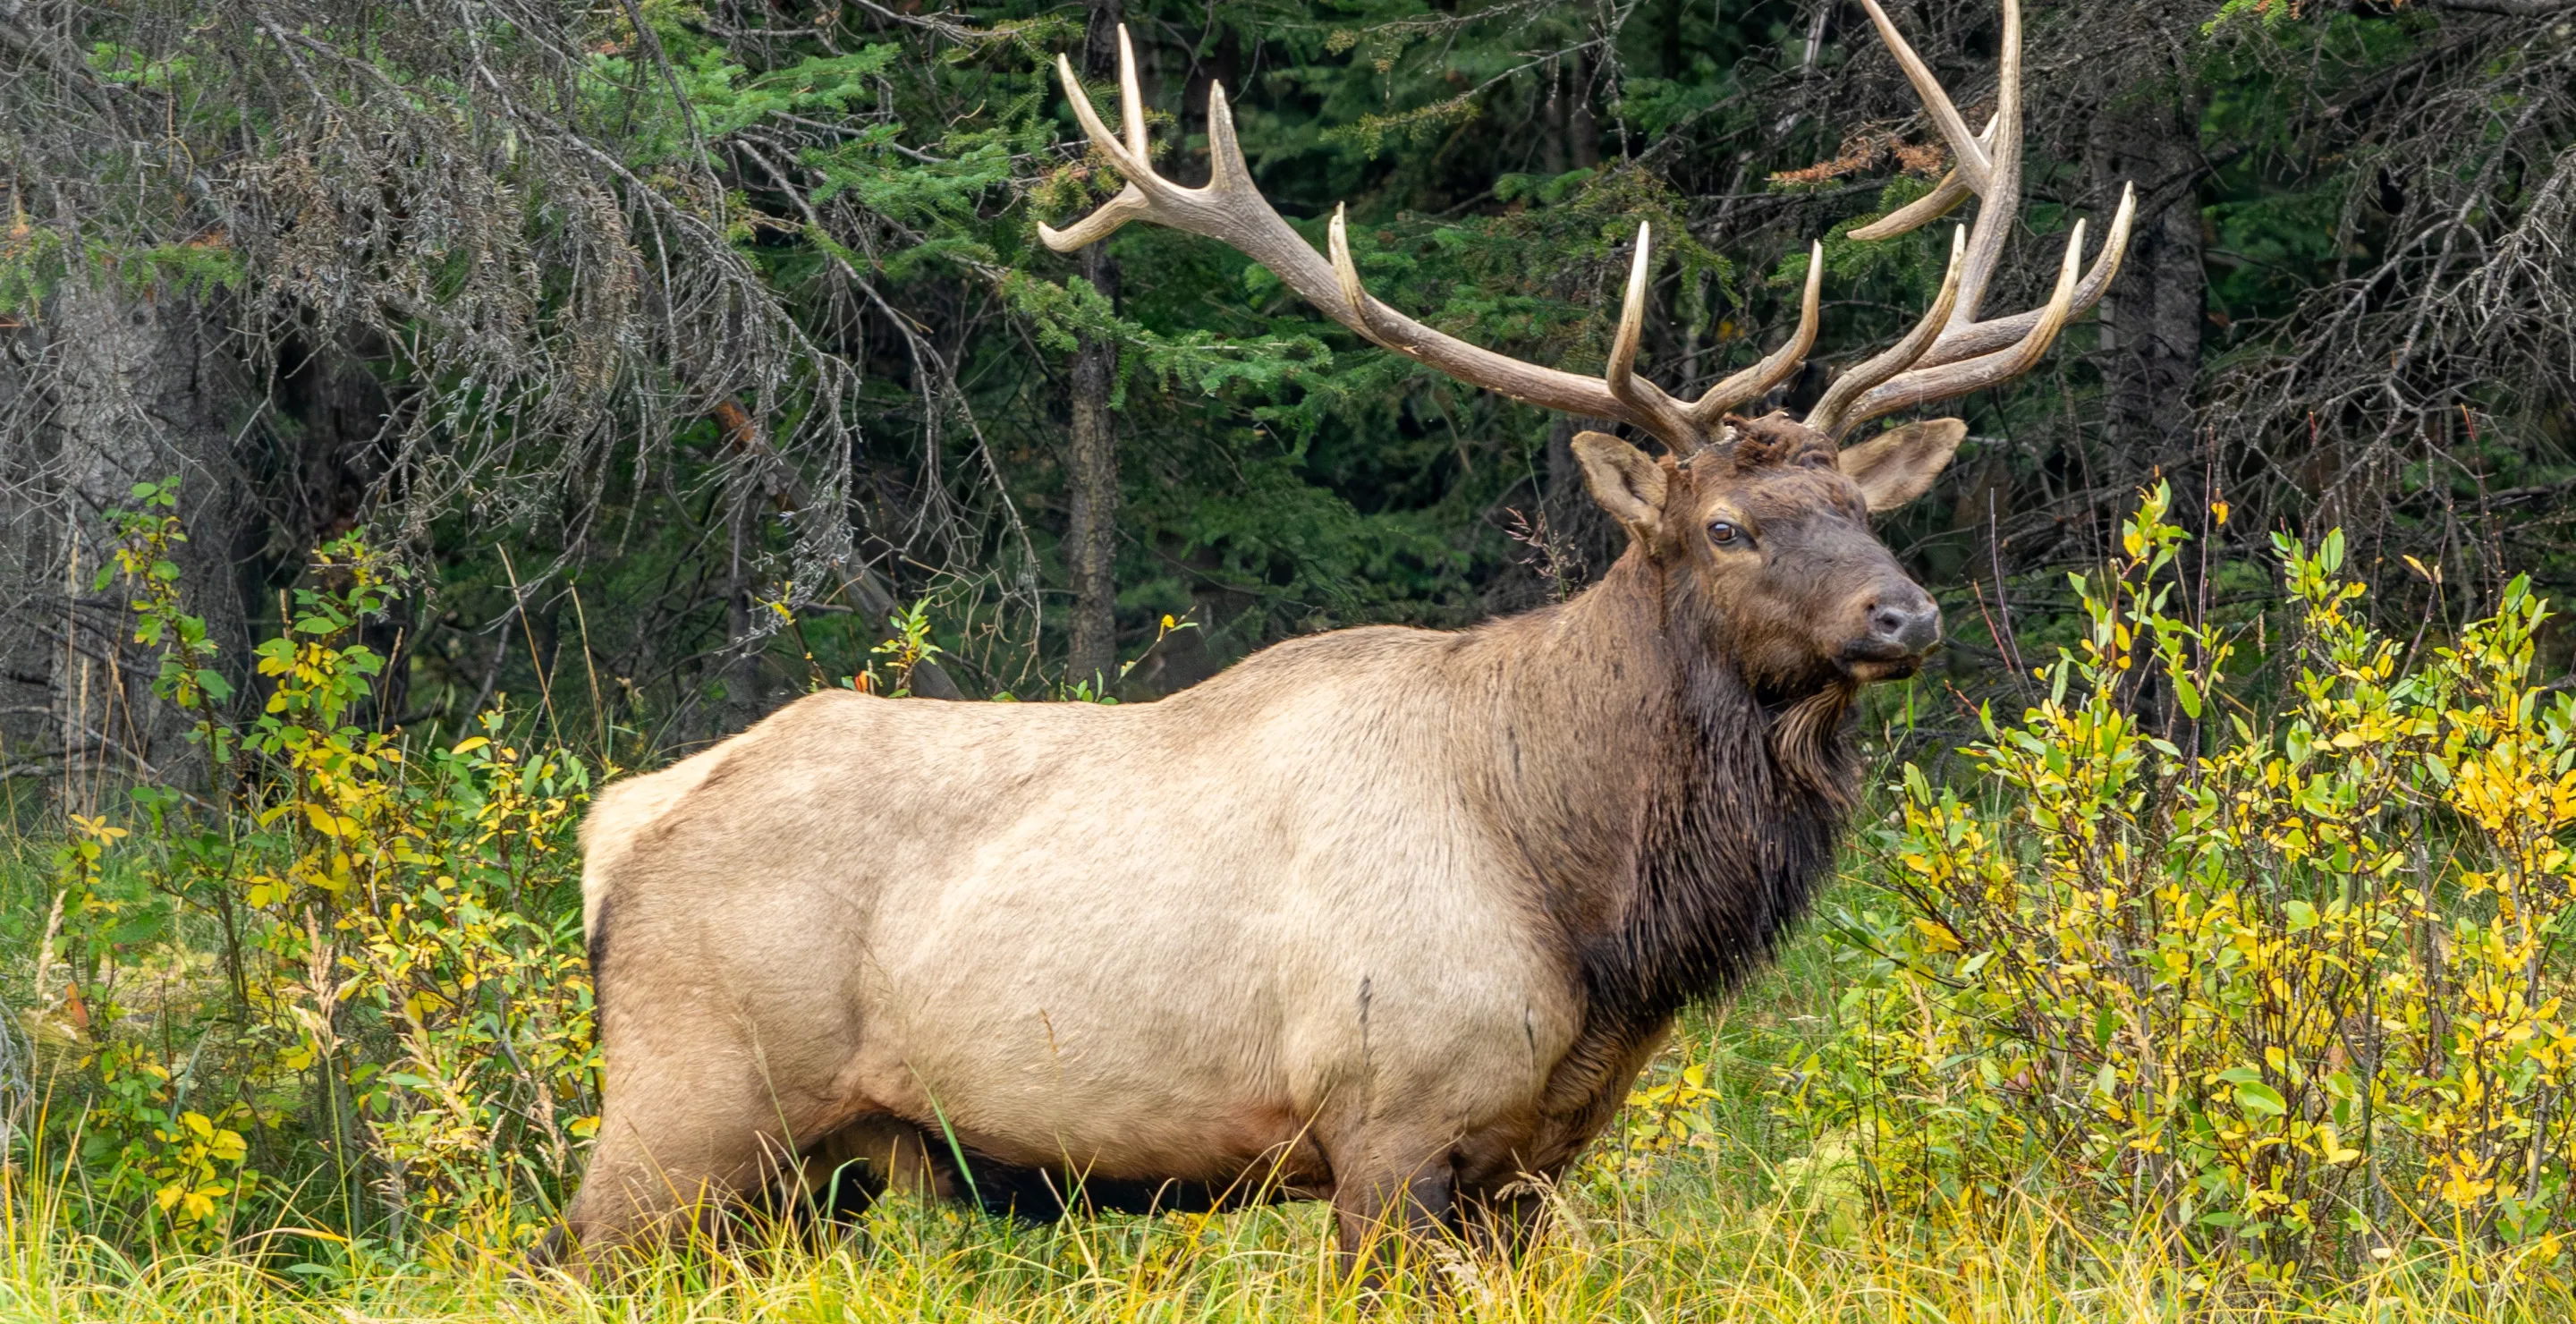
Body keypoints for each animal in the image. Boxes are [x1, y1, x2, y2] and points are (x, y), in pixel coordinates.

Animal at [558, 0, 2132, 1272]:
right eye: (1730, 527)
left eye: (1863, 508)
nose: (1905, 613)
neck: (1587, 907)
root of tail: (616, 827)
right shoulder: (1389, 1122)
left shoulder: (1533, 1161)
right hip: (683, 1110)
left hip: (811, 1173)